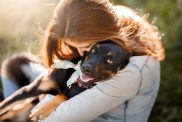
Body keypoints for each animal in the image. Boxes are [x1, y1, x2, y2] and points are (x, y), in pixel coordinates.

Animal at [0, 40, 131, 120]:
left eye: (110, 60)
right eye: (93, 51)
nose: (85, 68)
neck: (73, 79)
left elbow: (63, 95)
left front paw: (44, 108)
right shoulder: (30, 90)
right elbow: (4, 105)